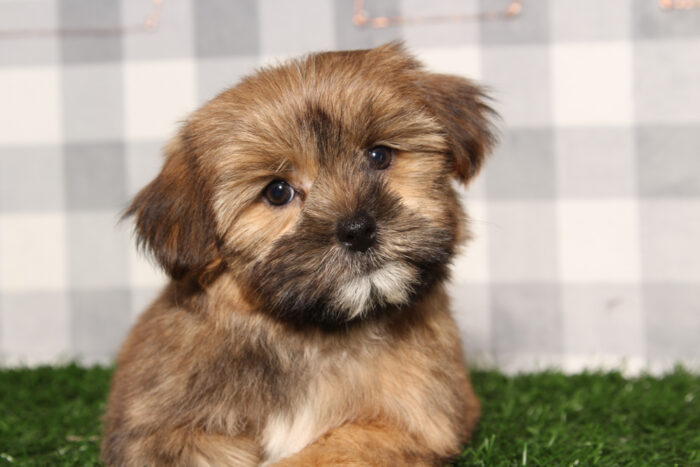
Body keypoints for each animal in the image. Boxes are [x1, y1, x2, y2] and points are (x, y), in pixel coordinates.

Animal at [102, 42, 498, 466]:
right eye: (278, 191)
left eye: (379, 156)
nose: (358, 230)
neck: (311, 340)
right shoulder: (155, 428)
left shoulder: (417, 421)